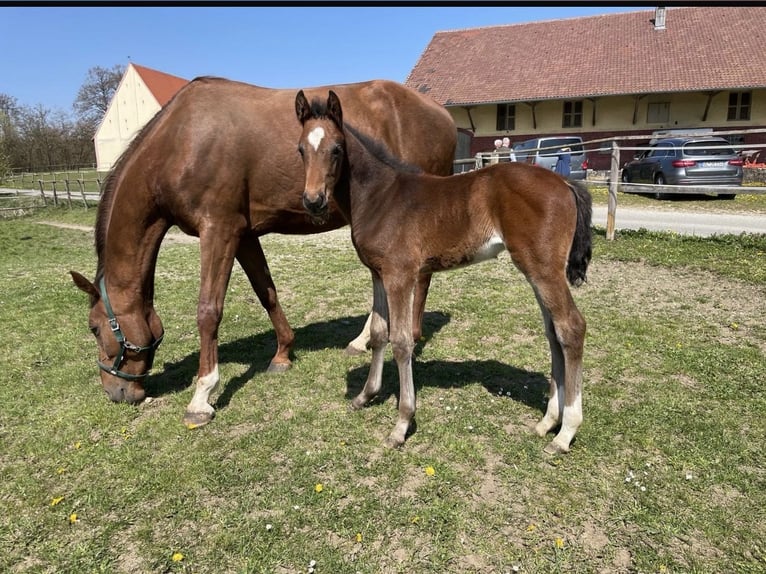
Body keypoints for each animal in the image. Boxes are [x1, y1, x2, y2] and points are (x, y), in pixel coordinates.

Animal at [69, 77, 456, 429]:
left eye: (94, 328)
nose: (115, 392)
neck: (181, 140)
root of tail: (441, 113)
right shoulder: (243, 235)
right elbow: (265, 291)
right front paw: (283, 353)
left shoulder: (219, 230)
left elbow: (208, 311)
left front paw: (202, 397)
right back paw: (362, 341)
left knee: (421, 280)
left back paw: (412, 335)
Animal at [295, 90, 592, 454]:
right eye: (301, 149)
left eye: (337, 149)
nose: (313, 201)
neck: (380, 196)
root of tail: (565, 181)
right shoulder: (378, 273)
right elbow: (378, 333)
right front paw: (366, 395)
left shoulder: (400, 275)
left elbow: (401, 341)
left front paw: (401, 424)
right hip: (536, 269)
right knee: (553, 332)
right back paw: (548, 421)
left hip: (544, 268)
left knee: (571, 328)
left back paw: (566, 433)